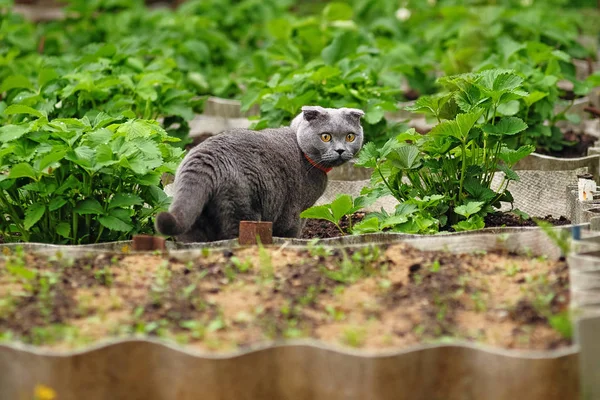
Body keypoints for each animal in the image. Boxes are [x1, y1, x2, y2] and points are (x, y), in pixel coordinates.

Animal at [155, 106, 364, 242]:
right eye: (325, 136)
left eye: (350, 137)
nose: (340, 150)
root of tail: (206, 159)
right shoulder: (296, 212)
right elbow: (291, 231)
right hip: (241, 209)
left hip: (192, 215)